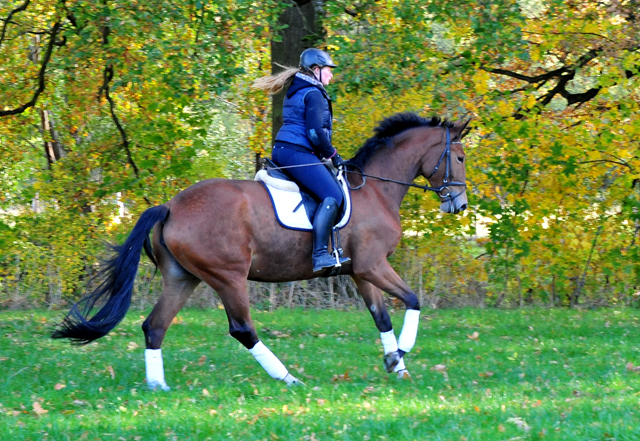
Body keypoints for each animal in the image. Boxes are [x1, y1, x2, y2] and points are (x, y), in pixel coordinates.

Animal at [52, 112, 468, 388]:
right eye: (461, 158)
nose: (459, 205)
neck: (377, 190)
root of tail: (171, 206)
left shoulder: (359, 270)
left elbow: (381, 318)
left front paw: (397, 365)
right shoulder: (372, 266)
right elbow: (412, 300)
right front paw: (403, 352)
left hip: (182, 277)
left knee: (155, 326)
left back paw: (159, 386)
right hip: (228, 276)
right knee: (242, 328)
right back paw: (288, 377)